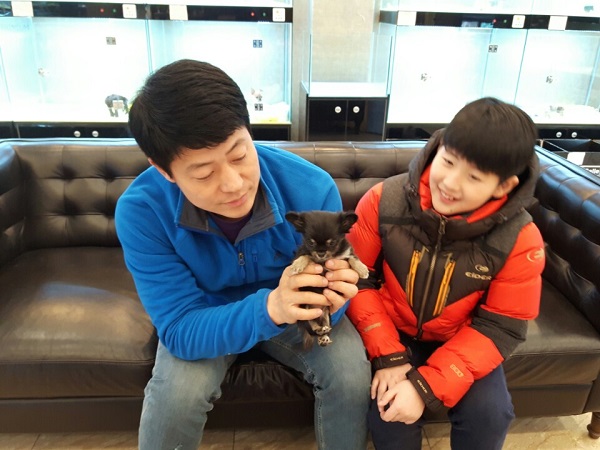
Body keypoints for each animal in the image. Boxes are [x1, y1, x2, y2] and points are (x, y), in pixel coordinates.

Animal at [285, 210, 369, 348]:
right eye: (311, 242)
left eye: (332, 243)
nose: (321, 253)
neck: (325, 260)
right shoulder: (307, 252)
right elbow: (306, 255)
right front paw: (298, 264)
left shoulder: (345, 254)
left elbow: (352, 258)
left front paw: (362, 269)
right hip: (304, 311)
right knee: (312, 325)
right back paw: (319, 331)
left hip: (326, 315)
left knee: (323, 325)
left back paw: (323, 336)